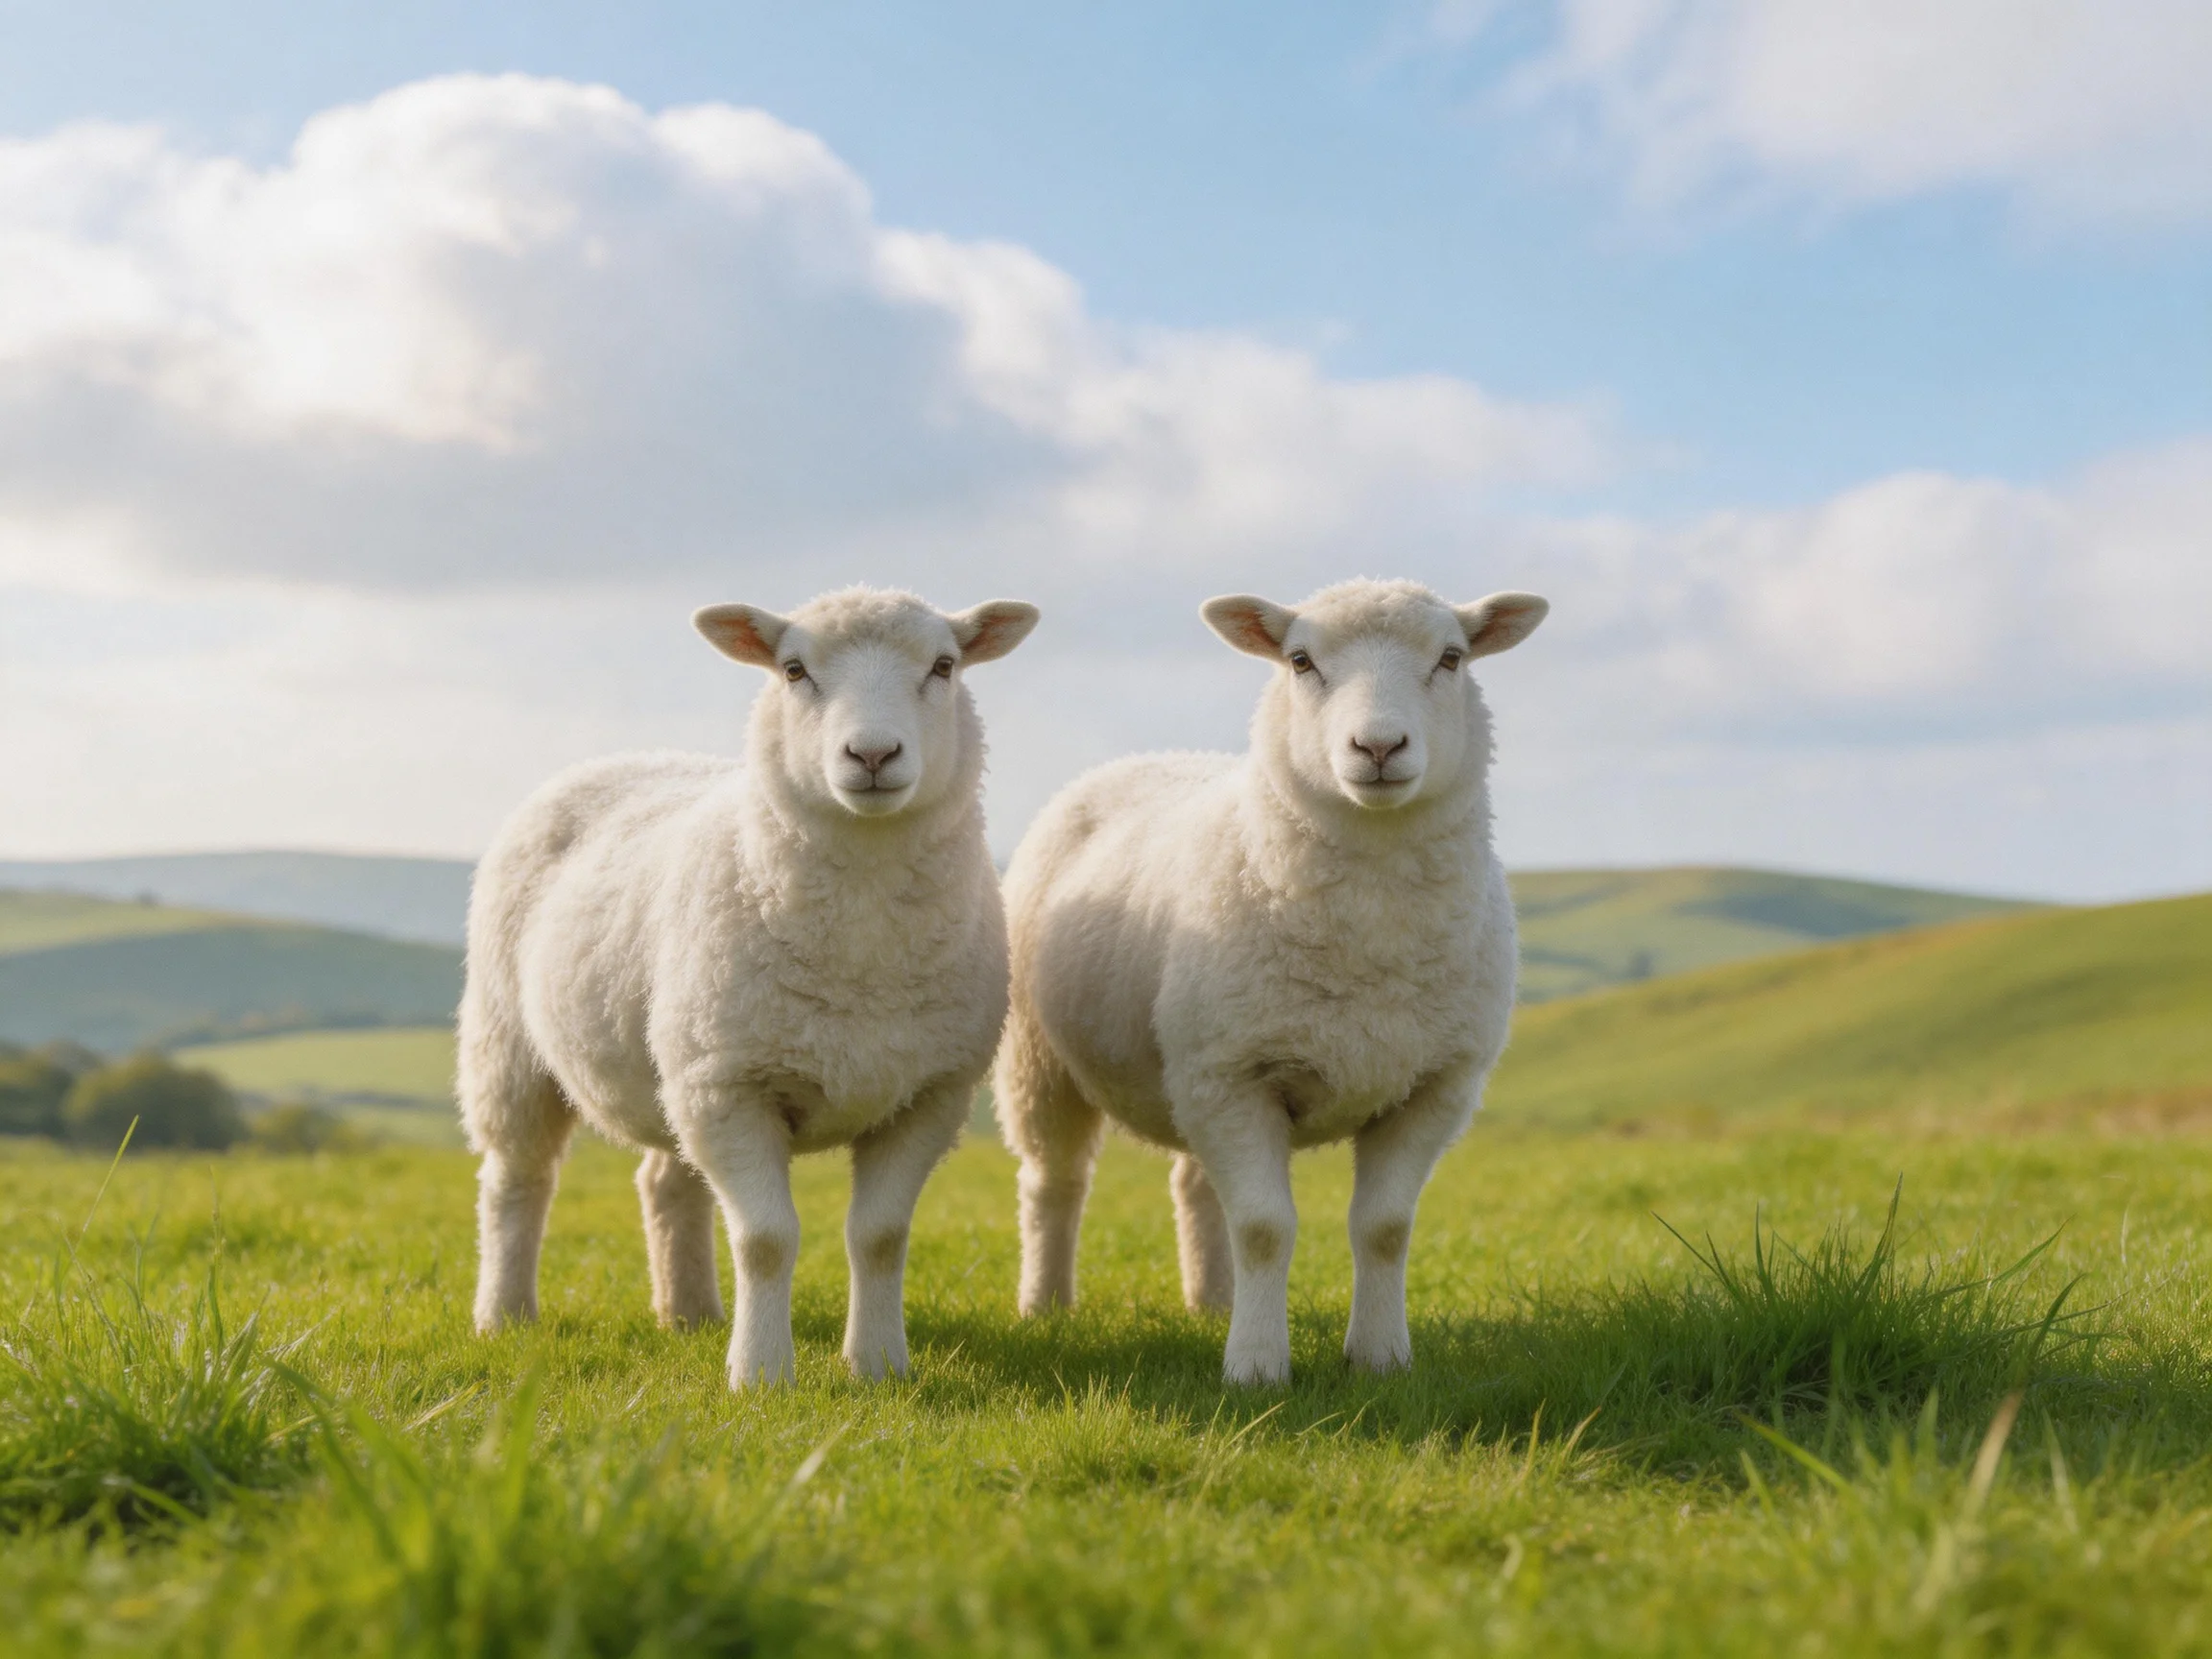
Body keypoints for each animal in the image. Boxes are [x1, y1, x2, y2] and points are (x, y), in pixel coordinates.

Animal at [460, 586, 1039, 1388]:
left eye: (944, 665)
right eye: (794, 670)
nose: (872, 755)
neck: (861, 949)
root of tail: (623, 757)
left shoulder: (928, 1095)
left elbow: (882, 1236)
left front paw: (878, 1366)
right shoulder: (731, 1086)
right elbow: (766, 1239)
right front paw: (761, 1374)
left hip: (674, 1060)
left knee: (666, 1183)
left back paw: (689, 1313)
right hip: (511, 1043)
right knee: (516, 1179)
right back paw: (505, 1315)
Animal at [994, 577, 1546, 1385]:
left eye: (1451, 657)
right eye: (1300, 661)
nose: (1378, 747)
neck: (1372, 932)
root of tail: (1146, 757)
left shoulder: (1433, 1086)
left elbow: (1384, 1228)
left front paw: (1380, 1357)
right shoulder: (1235, 1076)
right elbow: (1263, 1228)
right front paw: (1255, 1366)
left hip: (1191, 1067)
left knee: (1193, 1185)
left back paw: (1212, 1302)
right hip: (1042, 1059)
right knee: (1053, 1182)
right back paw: (1046, 1306)